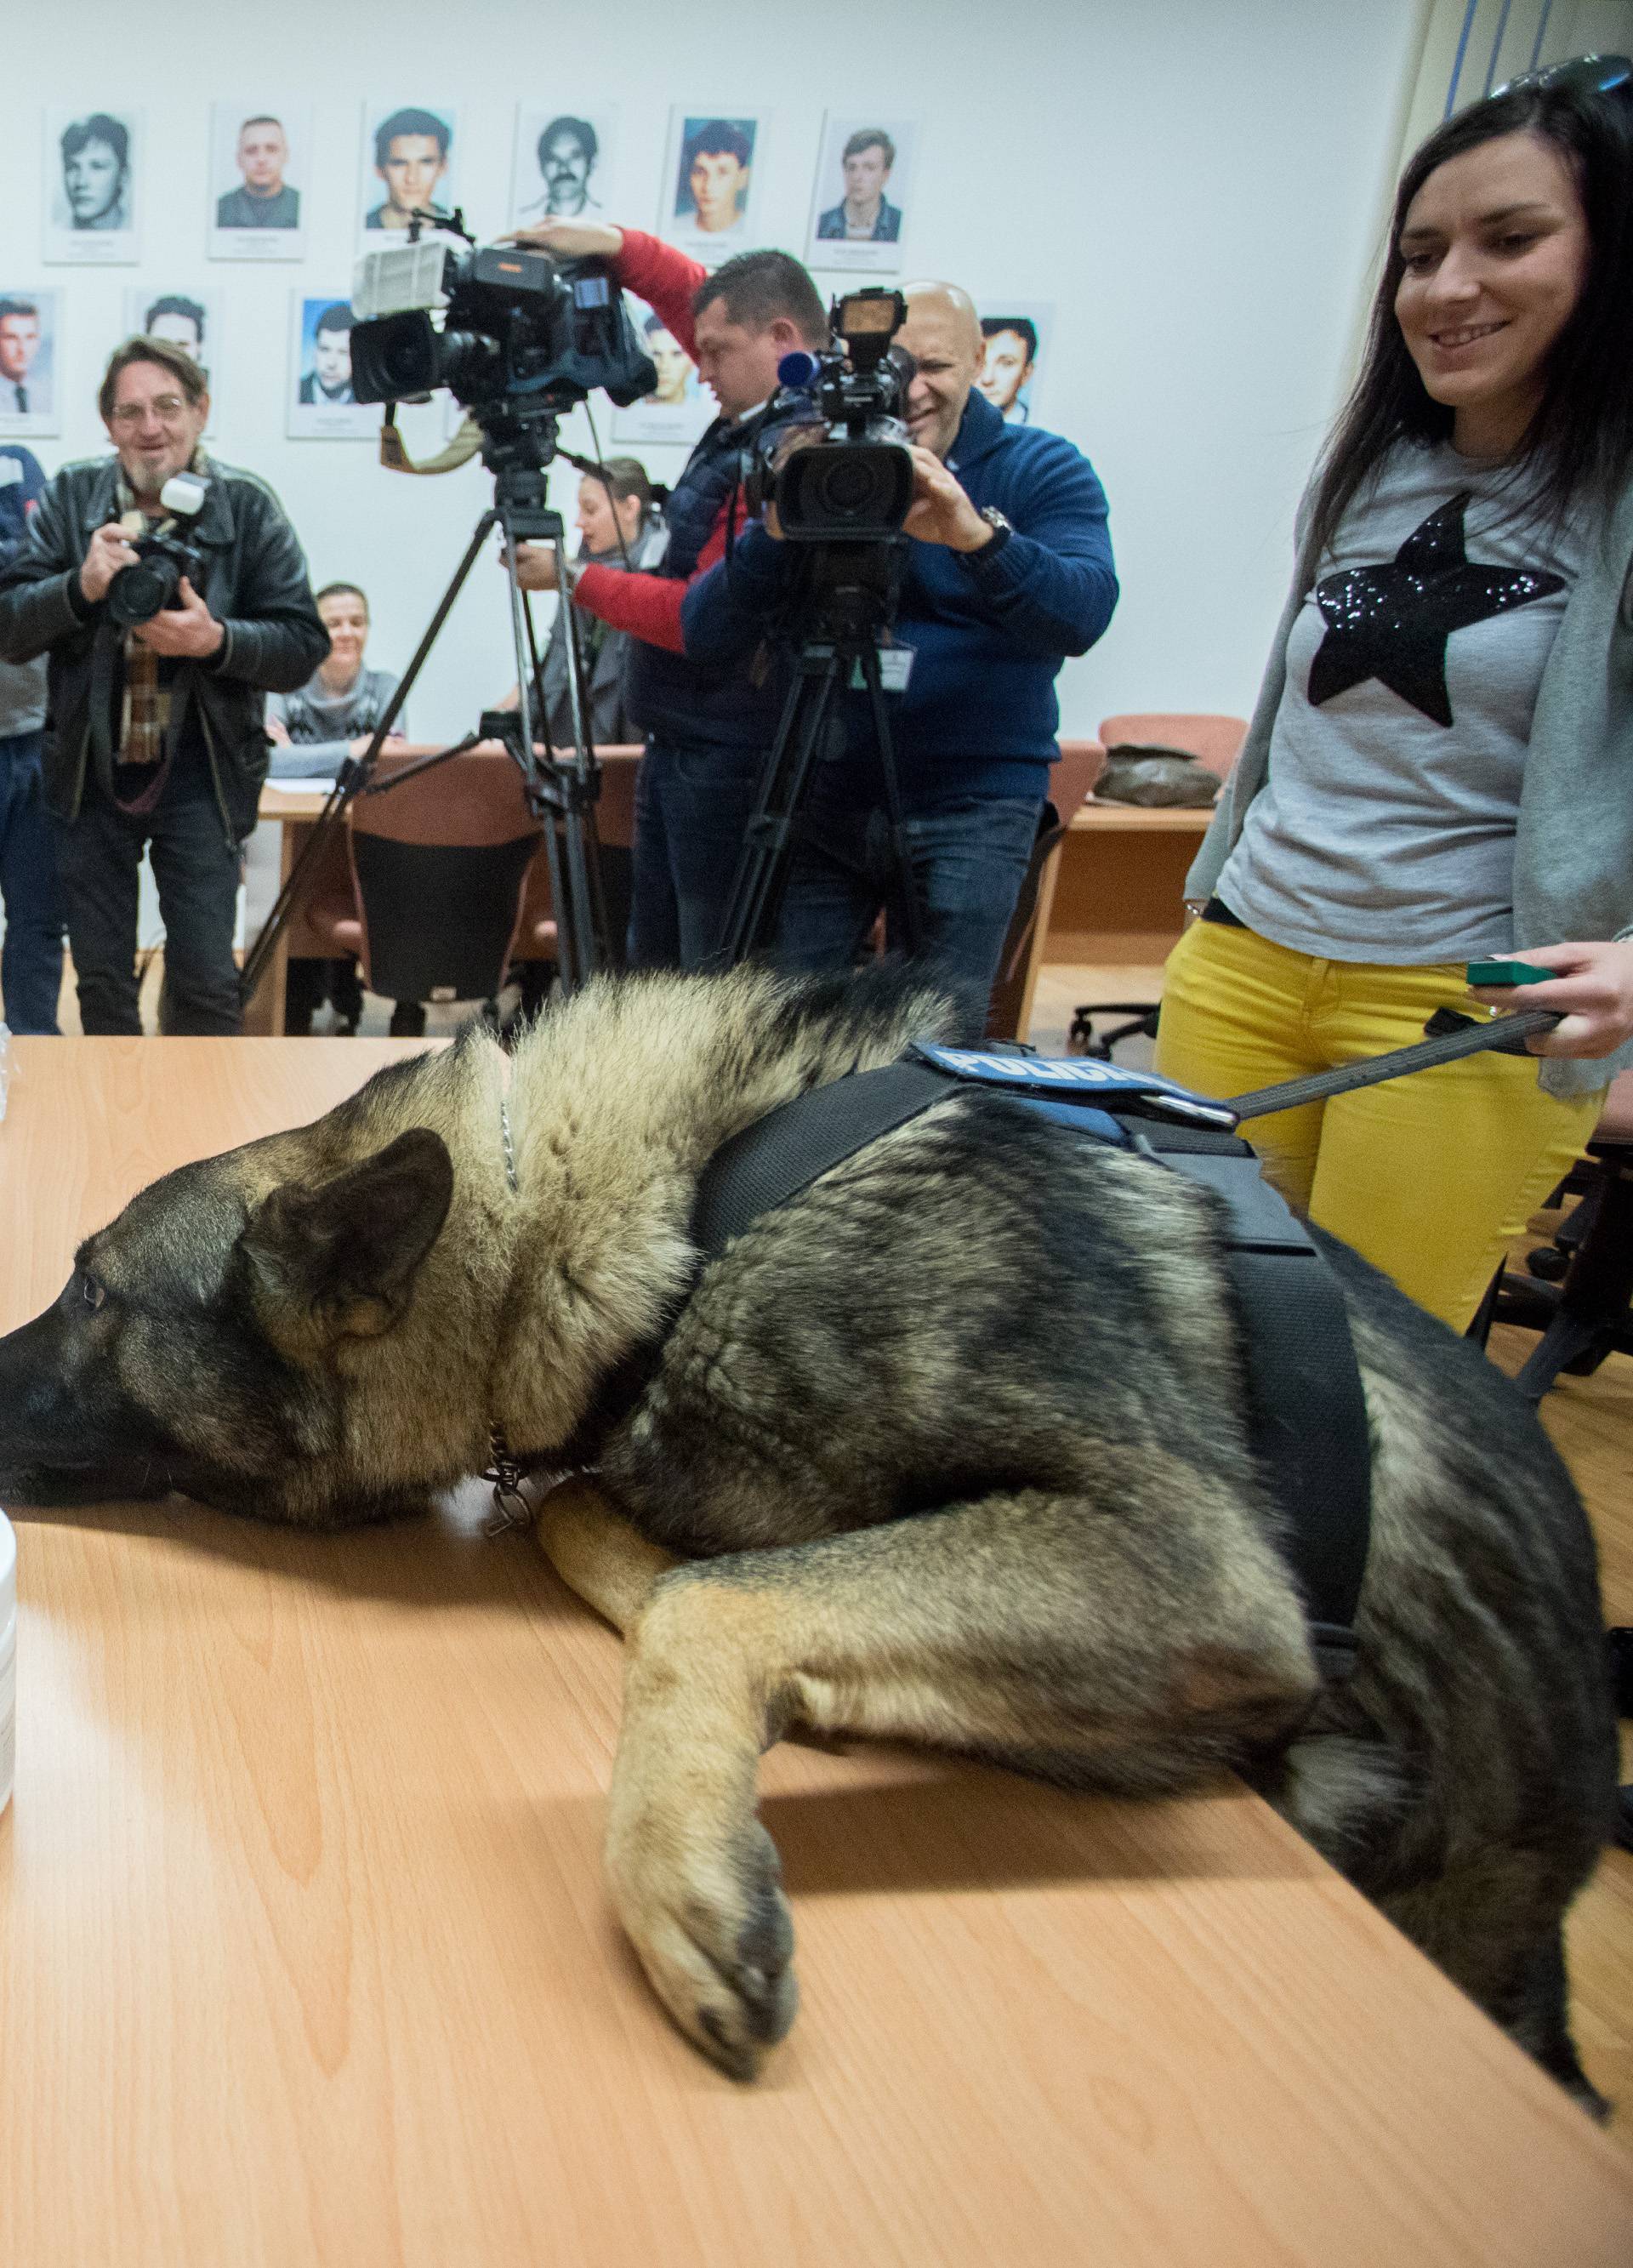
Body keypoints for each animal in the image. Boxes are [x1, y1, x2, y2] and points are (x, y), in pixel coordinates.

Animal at [0, 961, 1614, 2086]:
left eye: (90, 1291)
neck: (694, 1221)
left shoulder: (1189, 1568)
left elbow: (702, 1594)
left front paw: (681, 1861)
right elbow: (628, 1542)